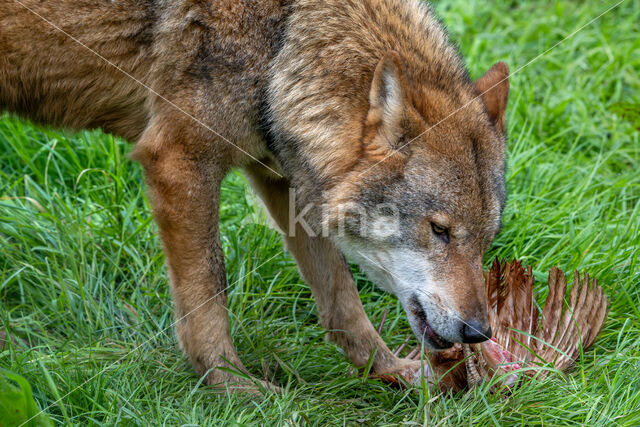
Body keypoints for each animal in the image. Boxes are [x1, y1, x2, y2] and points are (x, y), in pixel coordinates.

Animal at [1, 0, 510, 392]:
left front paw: (390, 371)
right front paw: (233, 386)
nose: (479, 332)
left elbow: (341, 296)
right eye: (439, 231)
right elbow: (209, 289)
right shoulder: (178, 161)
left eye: (486, 241)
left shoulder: (283, 177)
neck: (282, 40)